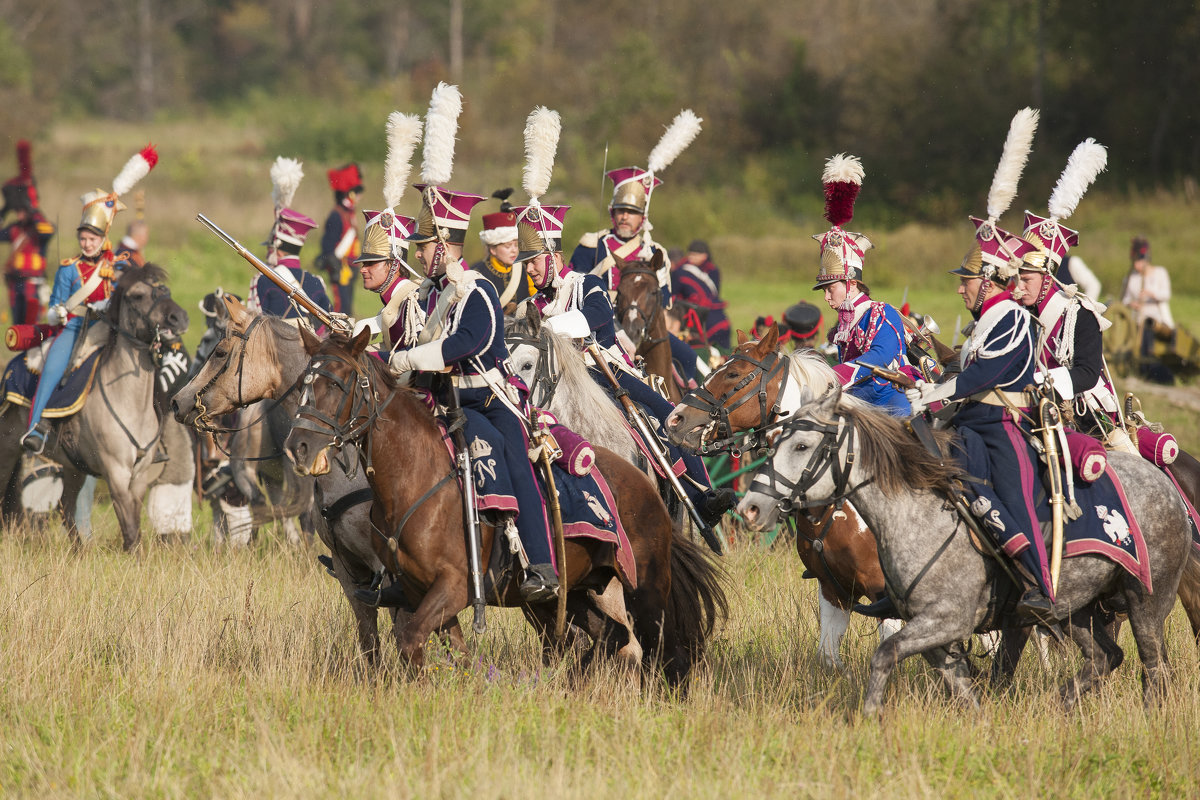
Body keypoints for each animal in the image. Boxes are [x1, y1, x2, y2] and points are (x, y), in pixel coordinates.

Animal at [0, 263, 188, 551]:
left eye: (164, 289)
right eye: (138, 295)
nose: (179, 318)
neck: (130, 401)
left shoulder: (140, 473)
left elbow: (133, 520)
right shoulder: (116, 471)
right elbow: (129, 526)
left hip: (73, 466)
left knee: (66, 506)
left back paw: (79, 551)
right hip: (8, 448)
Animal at [285, 328, 724, 686]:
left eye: (339, 381)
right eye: (302, 385)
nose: (299, 447)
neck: (415, 476)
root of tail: (644, 483)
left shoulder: (454, 587)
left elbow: (411, 641)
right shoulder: (414, 591)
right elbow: (446, 652)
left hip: (644, 590)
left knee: (662, 651)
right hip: (576, 591)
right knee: (611, 637)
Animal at [739, 386, 1190, 714]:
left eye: (802, 446)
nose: (750, 508)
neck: (914, 514)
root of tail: (1168, 487)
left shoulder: (944, 621)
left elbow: (884, 654)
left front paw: (869, 718)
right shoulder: (933, 635)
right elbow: (962, 689)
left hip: (1145, 602)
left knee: (1155, 668)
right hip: (1078, 608)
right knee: (1104, 658)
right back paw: (1061, 706)